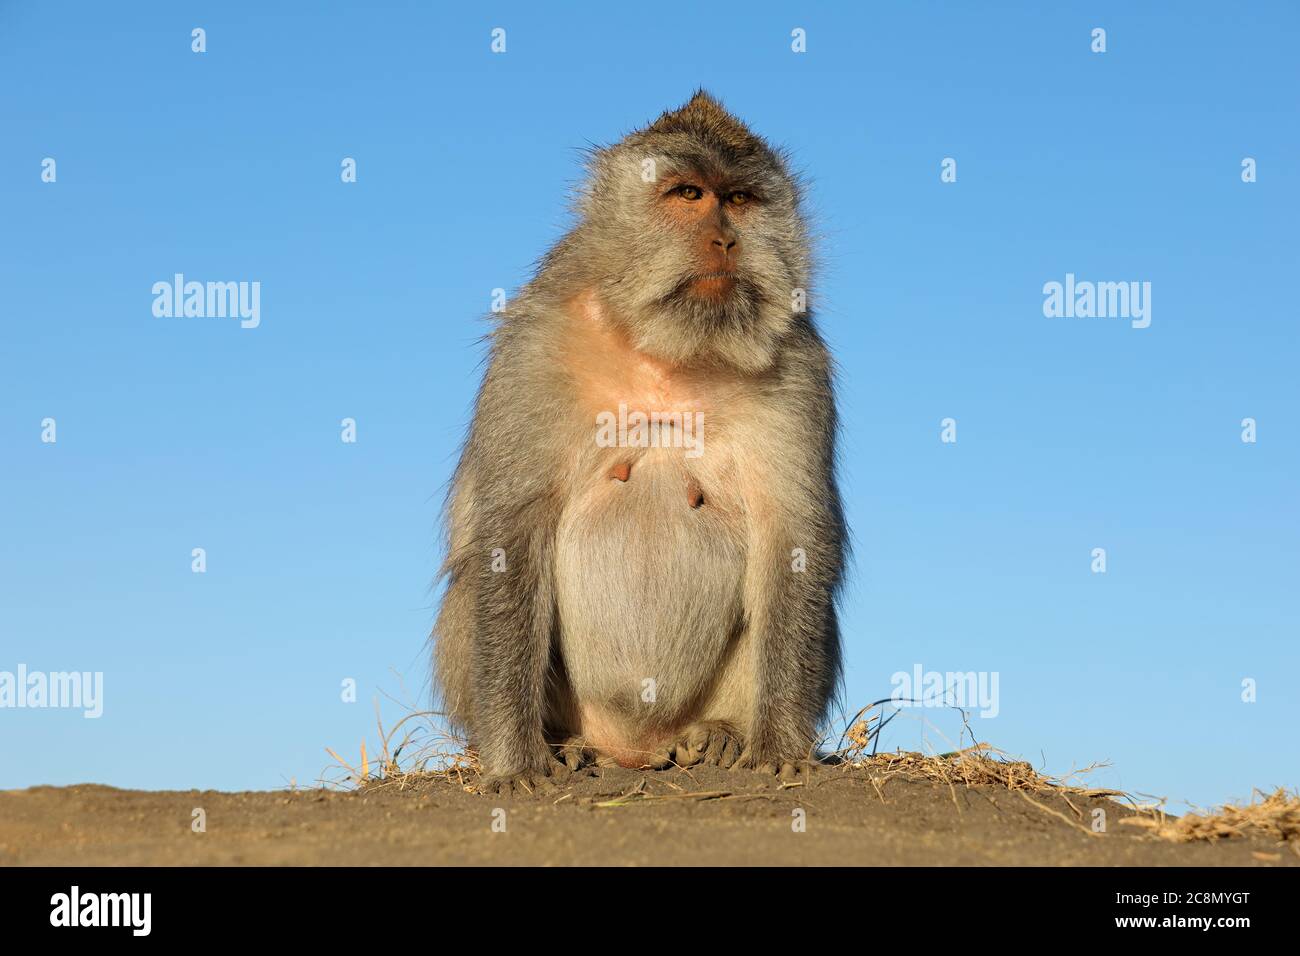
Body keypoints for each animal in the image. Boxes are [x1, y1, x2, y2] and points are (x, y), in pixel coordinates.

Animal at [431, 89, 847, 796]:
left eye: (740, 199)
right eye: (688, 193)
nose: (726, 239)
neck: (667, 349)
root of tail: (634, 747)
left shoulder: (799, 365)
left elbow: (792, 535)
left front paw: (778, 746)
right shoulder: (534, 349)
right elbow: (509, 532)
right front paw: (516, 761)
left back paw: (719, 734)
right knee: (470, 587)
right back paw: (564, 743)